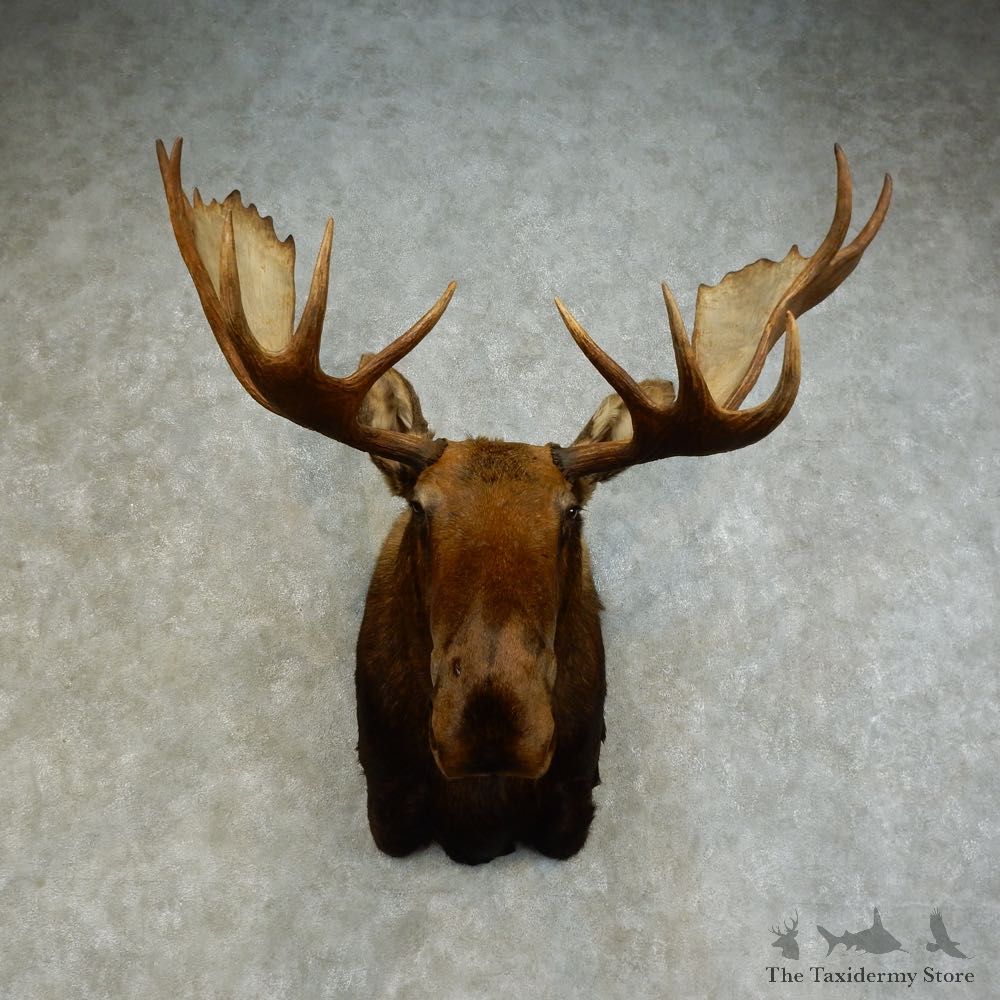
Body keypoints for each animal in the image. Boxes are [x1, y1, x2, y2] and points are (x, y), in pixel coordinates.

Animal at [156, 139, 891, 864]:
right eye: (419, 509)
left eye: (570, 513)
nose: (492, 721)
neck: (482, 817)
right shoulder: (385, 796)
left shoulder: (576, 796)